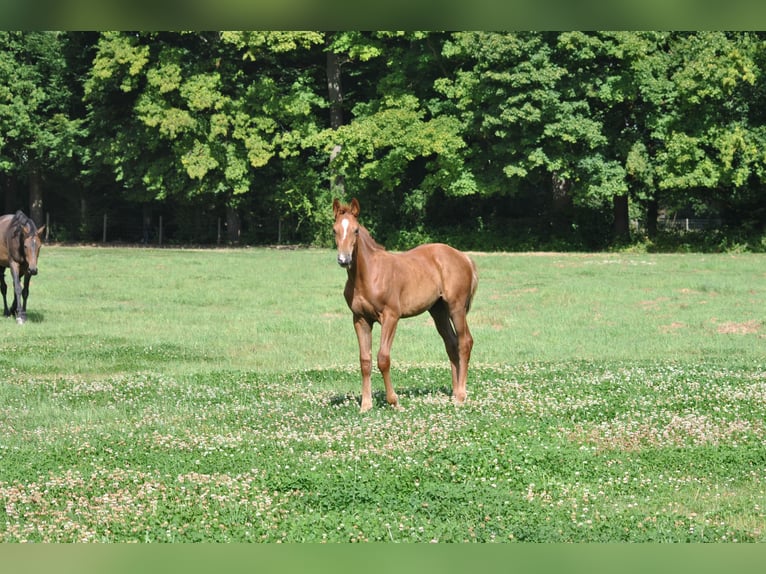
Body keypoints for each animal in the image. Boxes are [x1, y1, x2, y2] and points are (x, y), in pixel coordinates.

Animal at [332, 198, 478, 412]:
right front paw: (366, 405)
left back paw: (461, 395)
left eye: (356, 230)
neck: (369, 274)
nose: (344, 259)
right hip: (438, 311)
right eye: (334, 230)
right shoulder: (360, 319)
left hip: (456, 308)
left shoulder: (390, 317)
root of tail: (464, 257)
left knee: (465, 342)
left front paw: (394, 401)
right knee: (451, 344)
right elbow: (365, 361)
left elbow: (383, 358)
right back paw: (454, 392)